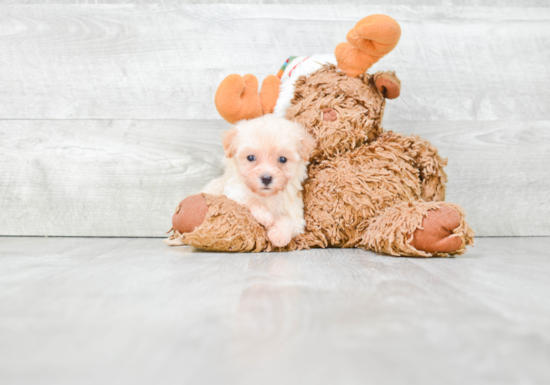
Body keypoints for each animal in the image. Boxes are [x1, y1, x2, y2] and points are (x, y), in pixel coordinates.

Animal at [203, 113, 316, 246]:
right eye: (251, 157)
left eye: (283, 159)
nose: (266, 178)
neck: (266, 196)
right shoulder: (233, 193)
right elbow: (251, 201)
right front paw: (266, 216)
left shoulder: (295, 213)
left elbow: (289, 222)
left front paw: (279, 236)